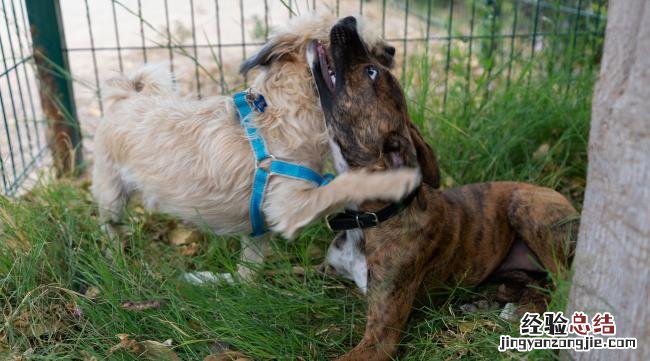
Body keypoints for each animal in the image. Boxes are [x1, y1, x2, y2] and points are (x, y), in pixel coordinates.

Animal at [91, 14, 418, 278]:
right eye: (356, 42)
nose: (392, 50)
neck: (285, 113)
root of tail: (127, 96)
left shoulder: (259, 227)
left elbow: (247, 273)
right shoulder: (290, 207)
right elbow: (346, 184)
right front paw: (397, 181)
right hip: (112, 195)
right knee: (108, 226)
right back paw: (115, 256)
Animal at [306, 17, 576, 360]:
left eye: (371, 72)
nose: (348, 20)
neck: (372, 219)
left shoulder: (380, 338)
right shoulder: (323, 269)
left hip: (525, 207)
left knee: (562, 283)